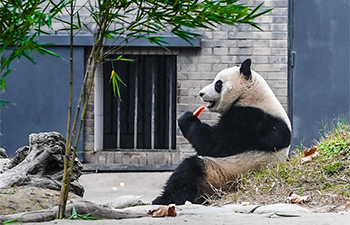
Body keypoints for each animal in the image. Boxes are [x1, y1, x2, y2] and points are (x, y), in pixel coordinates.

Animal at [153, 58, 292, 206]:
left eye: (218, 83)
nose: (201, 93)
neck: (250, 94)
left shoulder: (251, 119)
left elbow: (214, 144)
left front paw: (186, 118)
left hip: (222, 174)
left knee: (190, 170)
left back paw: (166, 198)